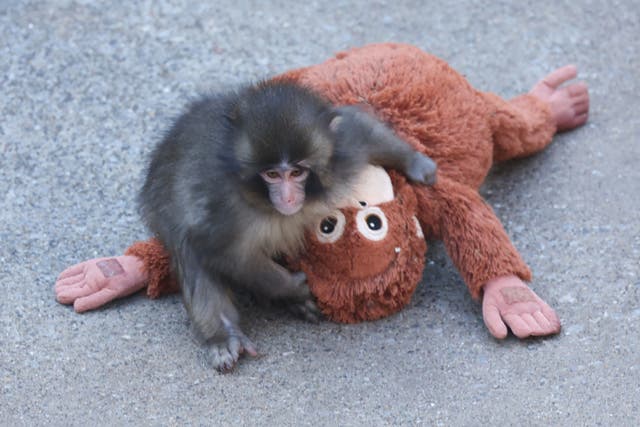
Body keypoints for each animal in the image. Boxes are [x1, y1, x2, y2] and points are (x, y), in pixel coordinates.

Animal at [139, 80, 437, 372]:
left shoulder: (341, 151)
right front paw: (293, 287)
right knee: (189, 250)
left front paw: (417, 163)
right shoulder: (222, 208)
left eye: (296, 172)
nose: (288, 197)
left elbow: (359, 127)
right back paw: (223, 334)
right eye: (271, 174)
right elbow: (224, 253)